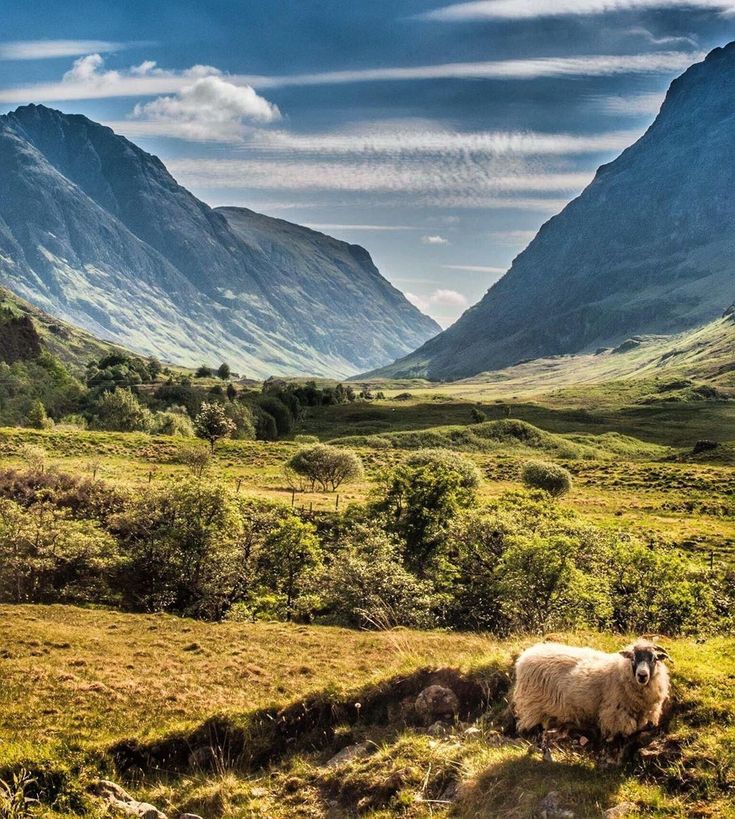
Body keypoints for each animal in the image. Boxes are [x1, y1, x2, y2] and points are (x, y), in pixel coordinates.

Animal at [516, 640, 668, 744]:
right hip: (533, 705)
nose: (642, 675)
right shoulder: (615, 714)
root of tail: (524, 657)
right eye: (633, 658)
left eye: (654, 659)